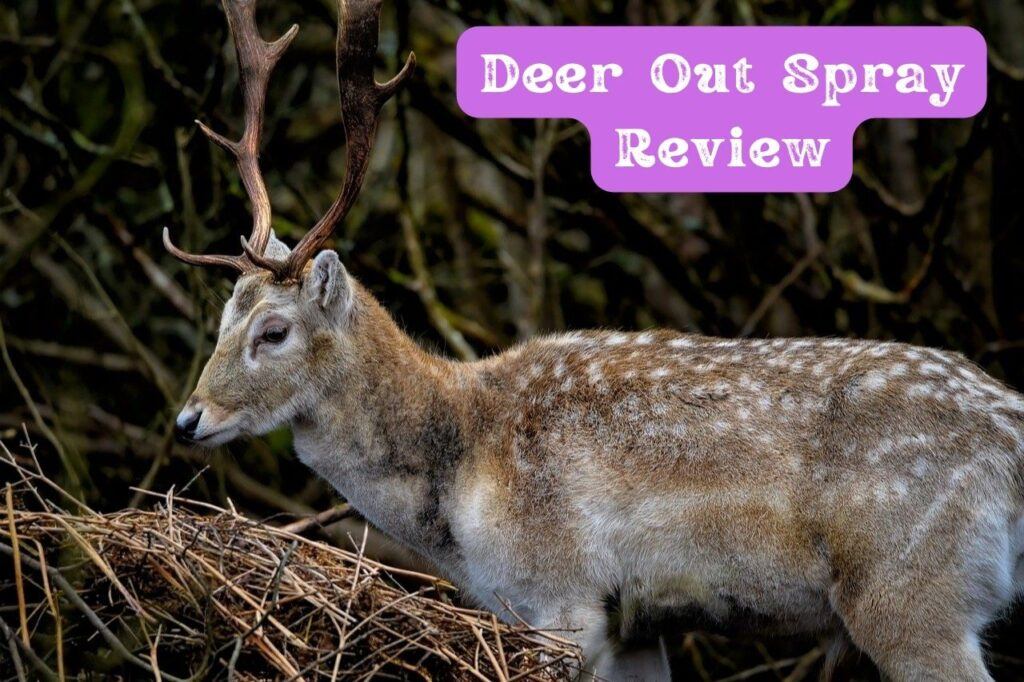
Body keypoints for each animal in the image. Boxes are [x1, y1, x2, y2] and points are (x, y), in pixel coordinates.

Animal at [165, 0, 1024, 679]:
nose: (188, 418)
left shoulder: (560, 592)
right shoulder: (634, 624)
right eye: (222, 318)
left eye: (273, 331)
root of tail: (1011, 433)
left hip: (910, 594)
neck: (458, 486)